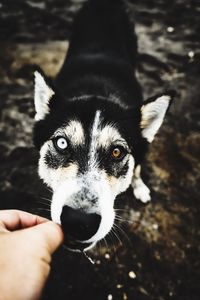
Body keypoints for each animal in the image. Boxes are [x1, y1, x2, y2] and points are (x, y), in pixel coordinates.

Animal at [32, 0, 173, 252]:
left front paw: (139, 186)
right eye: (61, 143)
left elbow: (137, 167)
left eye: (117, 152)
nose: (79, 221)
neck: (97, 88)